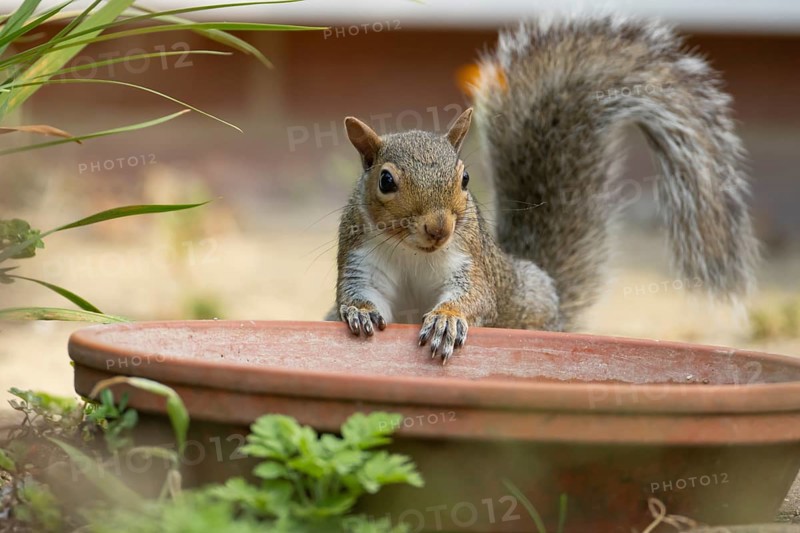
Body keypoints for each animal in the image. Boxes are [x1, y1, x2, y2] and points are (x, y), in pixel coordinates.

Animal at [325, 16, 760, 364]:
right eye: (386, 181)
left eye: (464, 179)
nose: (438, 229)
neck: (413, 253)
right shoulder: (361, 258)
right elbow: (356, 292)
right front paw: (360, 311)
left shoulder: (471, 261)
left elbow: (476, 296)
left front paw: (447, 320)